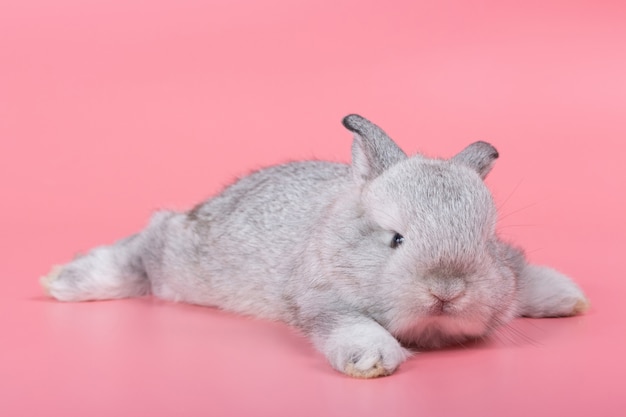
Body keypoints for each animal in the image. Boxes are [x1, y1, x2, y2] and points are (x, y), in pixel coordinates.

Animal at [41, 114, 588, 376]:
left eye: (486, 240)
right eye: (396, 239)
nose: (447, 290)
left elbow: (525, 274)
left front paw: (567, 296)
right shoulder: (322, 300)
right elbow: (353, 328)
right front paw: (372, 362)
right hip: (180, 263)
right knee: (148, 245)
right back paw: (65, 280)